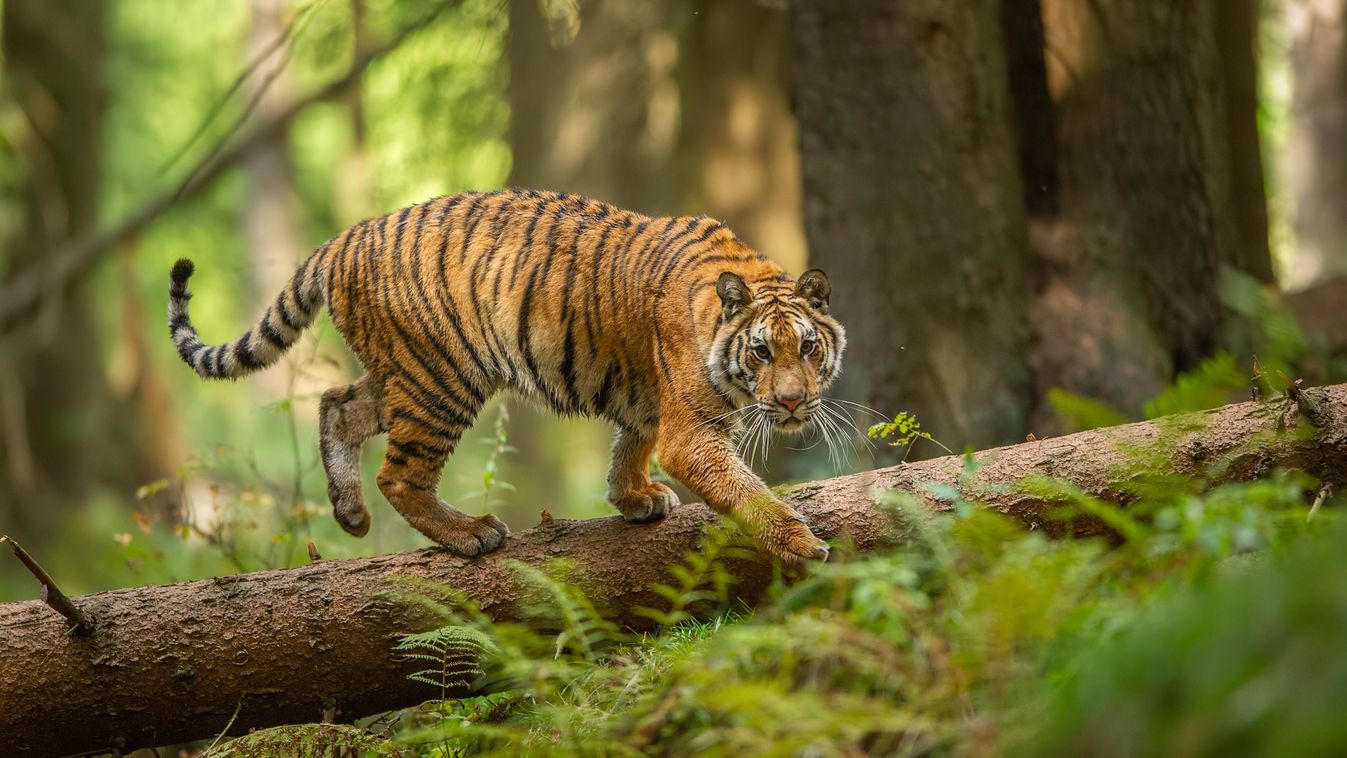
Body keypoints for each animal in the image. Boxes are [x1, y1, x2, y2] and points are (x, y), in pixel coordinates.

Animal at [165, 189, 840, 562]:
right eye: (761, 353)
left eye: (808, 349)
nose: (791, 404)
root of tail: (345, 237)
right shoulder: (690, 427)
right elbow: (743, 488)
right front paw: (801, 543)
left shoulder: (647, 394)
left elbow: (631, 440)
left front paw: (634, 497)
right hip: (440, 379)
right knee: (398, 474)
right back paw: (469, 534)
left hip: (401, 374)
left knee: (336, 402)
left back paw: (350, 514)